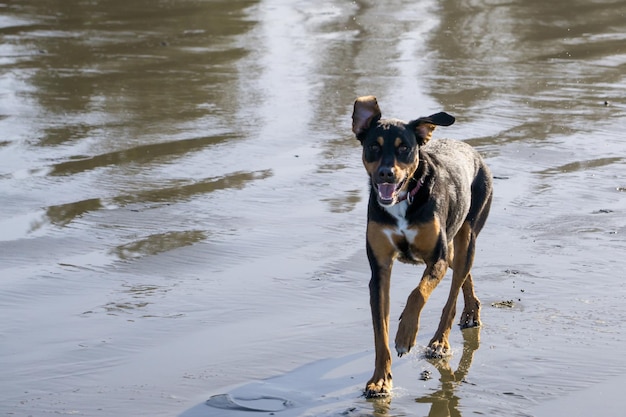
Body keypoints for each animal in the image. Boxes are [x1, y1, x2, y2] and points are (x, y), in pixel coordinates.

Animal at [352, 95, 492, 396]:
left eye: (404, 148)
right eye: (373, 146)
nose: (386, 174)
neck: (404, 199)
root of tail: (470, 150)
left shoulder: (436, 258)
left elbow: (417, 294)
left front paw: (406, 334)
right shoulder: (380, 271)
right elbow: (380, 332)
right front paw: (380, 379)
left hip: (467, 237)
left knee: (452, 296)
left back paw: (441, 341)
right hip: (454, 246)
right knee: (462, 274)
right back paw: (471, 310)